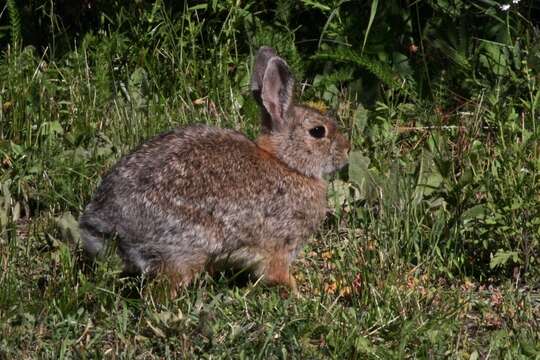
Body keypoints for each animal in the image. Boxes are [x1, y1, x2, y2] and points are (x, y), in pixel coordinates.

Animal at [80, 46, 350, 292]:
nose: (347, 150)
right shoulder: (279, 247)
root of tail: (104, 225)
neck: (287, 164)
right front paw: (297, 294)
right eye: (318, 131)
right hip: (182, 249)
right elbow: (277, 274)